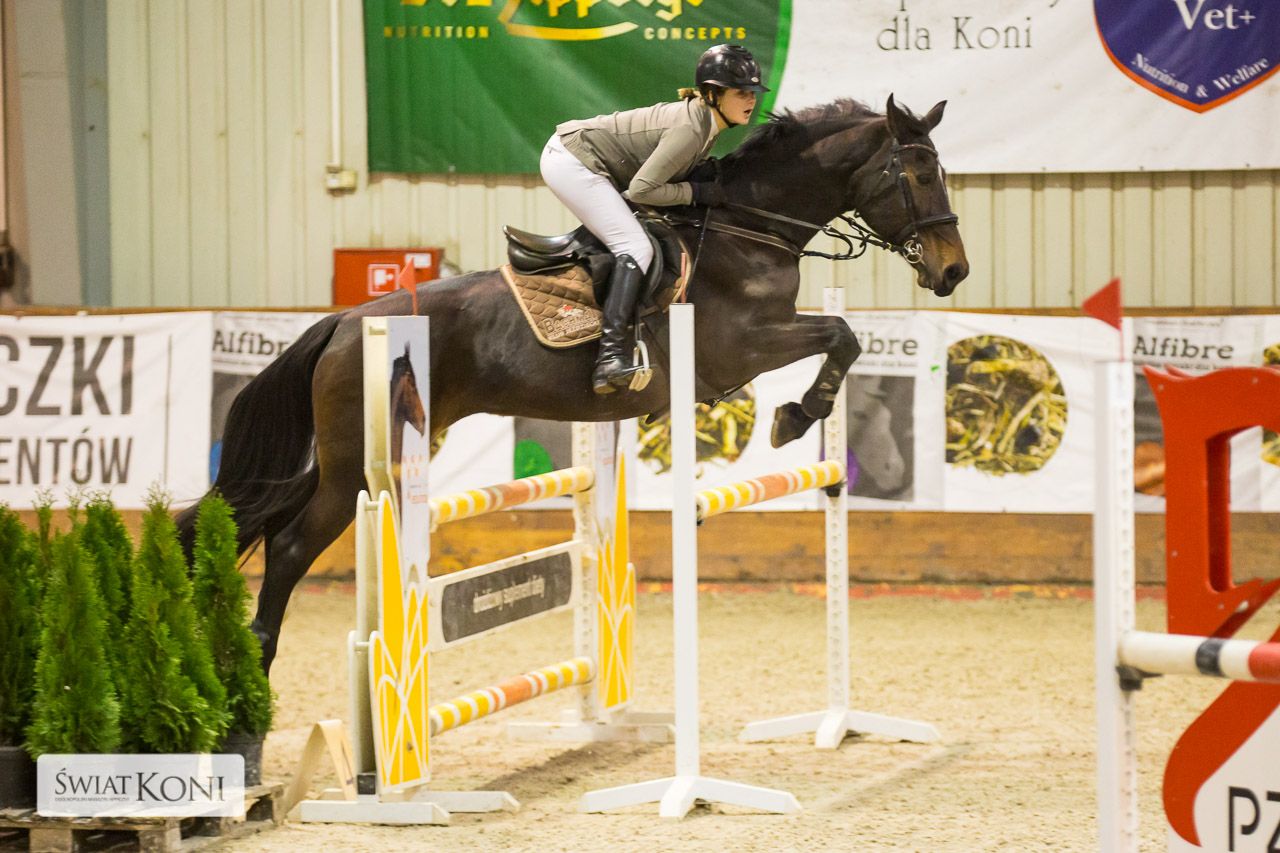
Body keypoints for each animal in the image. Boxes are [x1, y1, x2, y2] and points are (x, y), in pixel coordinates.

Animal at [177, 94, 969, 673]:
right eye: (917, 173)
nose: (954, 270)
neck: (750, 228)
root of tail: (345, 321)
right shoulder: (739, 349)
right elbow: (841, 335)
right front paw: (797, 416)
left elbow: (845, 337)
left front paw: (794, 417)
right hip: (358, 469)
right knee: (287, 546)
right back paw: (259, 663)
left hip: (360, 454)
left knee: (272, 524)